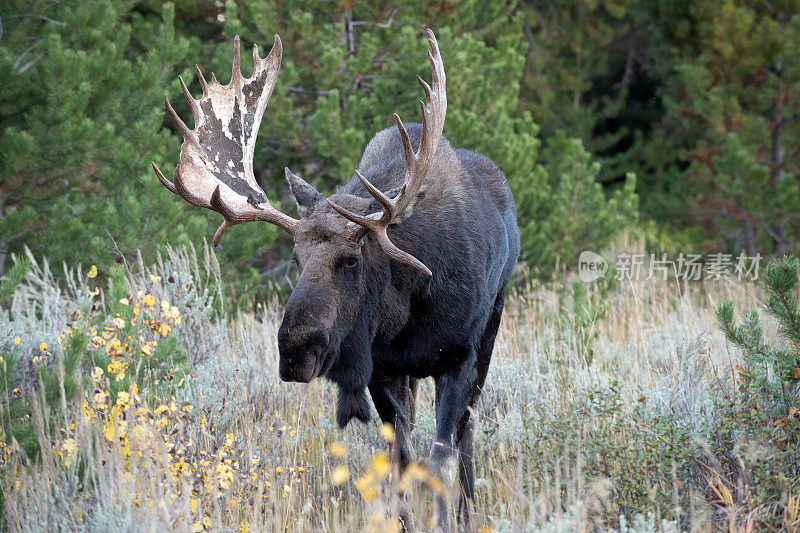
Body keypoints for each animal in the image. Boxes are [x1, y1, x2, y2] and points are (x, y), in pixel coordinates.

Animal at [153, 30, 520, 532]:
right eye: (296, 257)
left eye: (350, 260)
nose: (294, 349)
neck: (404, 308)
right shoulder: (383, 369)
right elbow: (403, 461)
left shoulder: (459, 357)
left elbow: (441, 458)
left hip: (490, 328)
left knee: (467, 434)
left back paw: (470, 509)